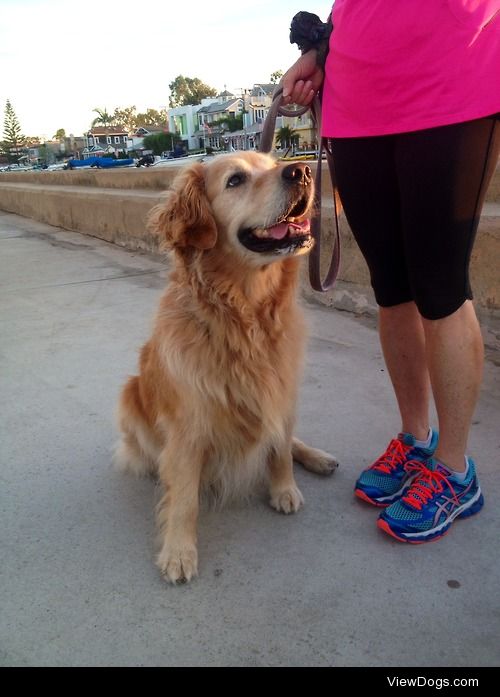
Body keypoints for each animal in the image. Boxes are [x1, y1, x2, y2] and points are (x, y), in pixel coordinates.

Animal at [115, 151, 338, 580]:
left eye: (273, 163)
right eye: (235, 180)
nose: (302, 171)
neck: (246, 315)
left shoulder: (280, 394)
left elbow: (280, 450)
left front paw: (284, 489)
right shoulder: (188, 428)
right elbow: (184, 497)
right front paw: (179, 551)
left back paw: (319, 457)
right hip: (129, 397)